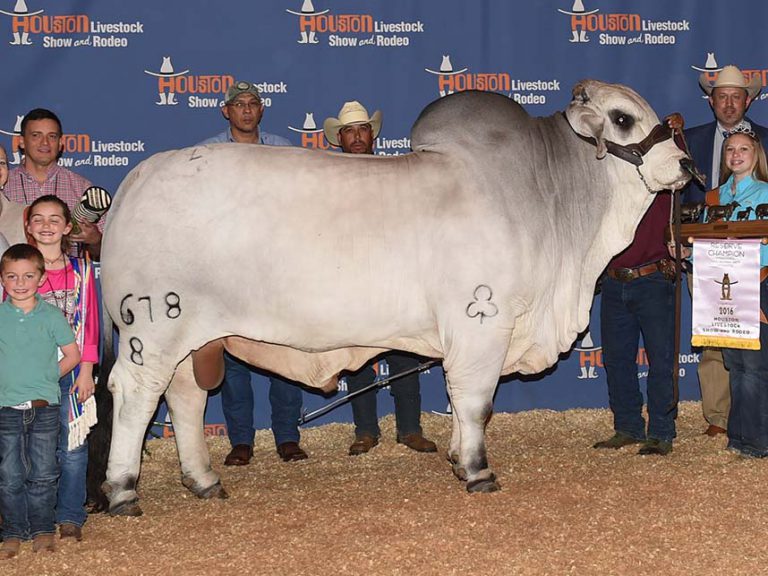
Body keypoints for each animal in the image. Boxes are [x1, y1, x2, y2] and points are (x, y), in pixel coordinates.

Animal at [99, 80, 692, 512]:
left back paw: (203, 481)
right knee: (135, 396)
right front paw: (477, 470)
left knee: (185, 399)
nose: (686, 166)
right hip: (152, 328)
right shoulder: (482, 321)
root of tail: (136, 181)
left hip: (193, 338)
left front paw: (455, 456)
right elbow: (475, 401)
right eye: (623, 119)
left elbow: (458, 399)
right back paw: (124, 490)